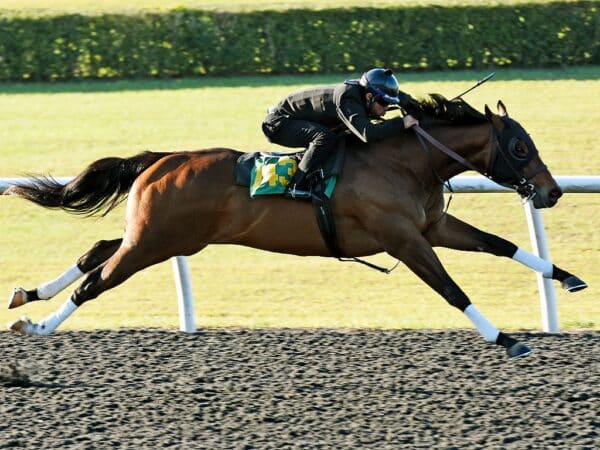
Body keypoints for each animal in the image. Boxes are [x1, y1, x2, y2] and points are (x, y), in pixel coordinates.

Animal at [4, 96, 584, 358]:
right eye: (519, 147)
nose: (552, 192)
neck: (403, 162)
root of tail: (161, 160)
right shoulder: (404, 238)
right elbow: (451, 289)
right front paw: (506, 338)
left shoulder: (433, 226)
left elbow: (500, 244)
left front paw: (569, 277)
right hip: (155, 240)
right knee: (95, 281)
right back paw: (38, 324)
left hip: (162, 236)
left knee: (97, 250)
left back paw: (27, 294)